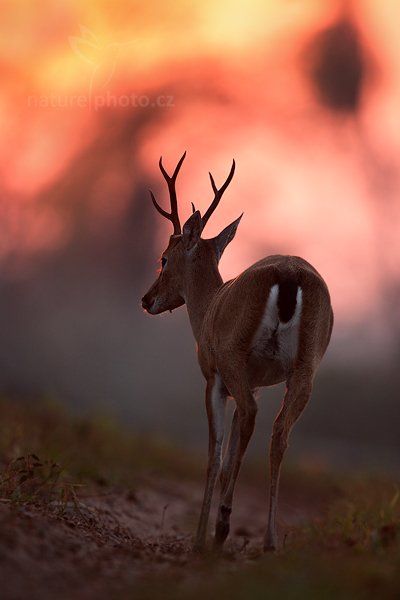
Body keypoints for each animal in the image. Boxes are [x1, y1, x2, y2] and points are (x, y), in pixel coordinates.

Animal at [142, 152, 332, 552]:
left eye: (164, 257)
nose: (147, 299)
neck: (210, 306)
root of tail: (289, 274)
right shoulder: (255, 381)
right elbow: (229, 458)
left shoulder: (215, 379)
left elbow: (214, 455)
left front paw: (200, 537)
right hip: (304, 371)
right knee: (279, 433)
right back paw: (269, 542)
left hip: (235, 363)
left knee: (251, 418)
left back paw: (221, 529)